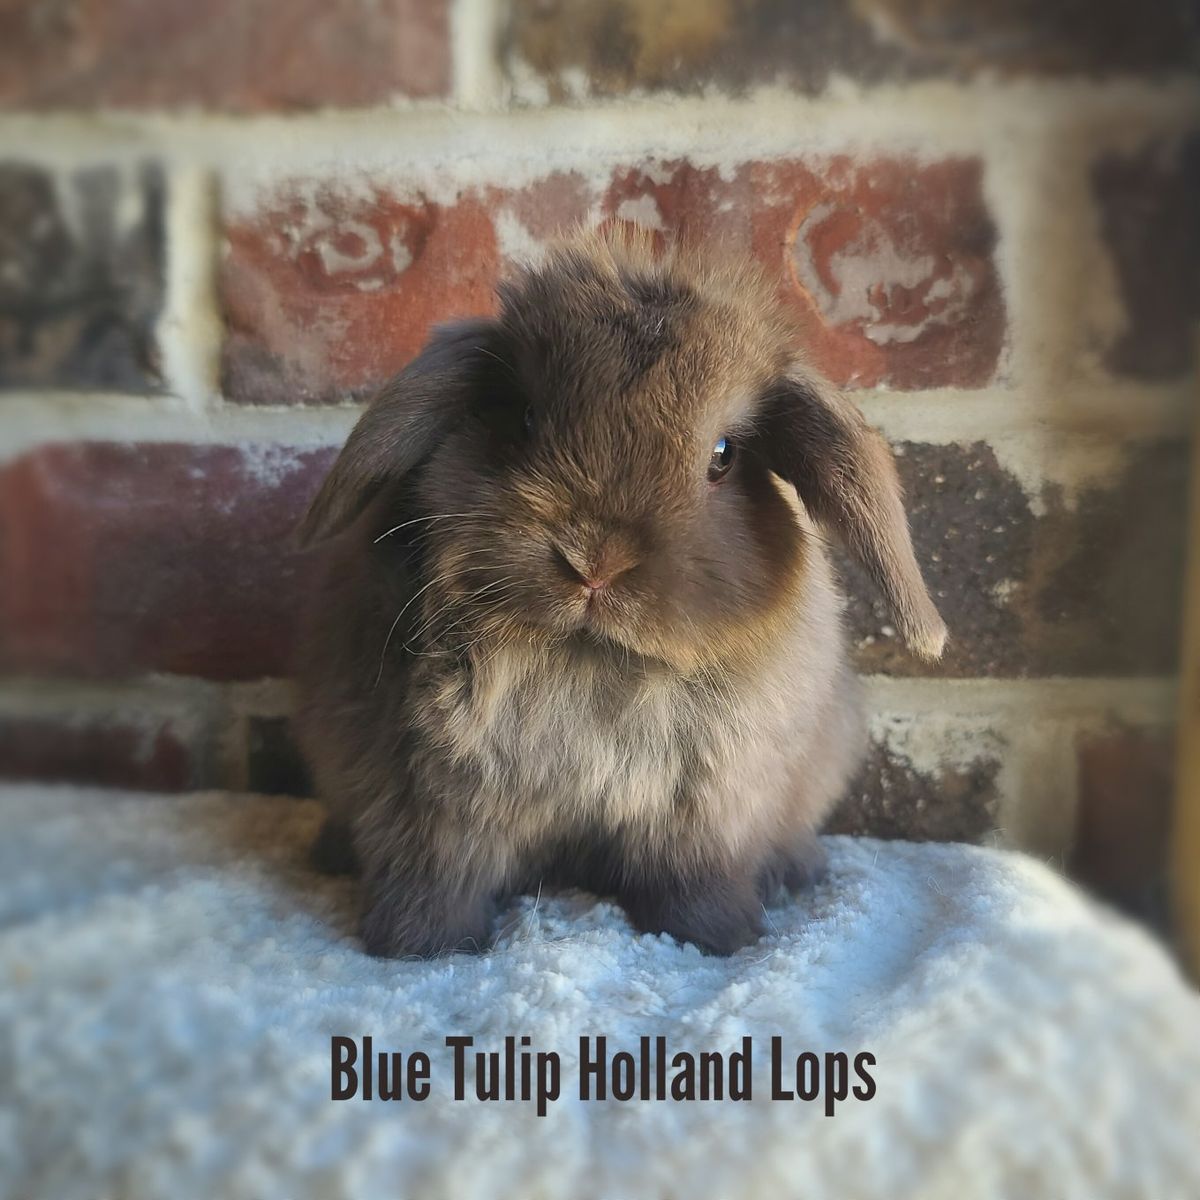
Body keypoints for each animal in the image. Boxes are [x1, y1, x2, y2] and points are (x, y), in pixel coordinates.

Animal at [293, 227, 945, 959]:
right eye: (523, 420)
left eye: (723, 455)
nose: (594, 562)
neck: (591, 659)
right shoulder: (424, 795)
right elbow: (435, 873)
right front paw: (421, 946)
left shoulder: (705, 809)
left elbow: (694, 880)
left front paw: (720, 938)